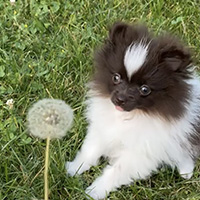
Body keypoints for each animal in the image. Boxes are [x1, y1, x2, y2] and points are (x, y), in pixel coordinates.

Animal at [66, 22, 200, 199]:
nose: (120, 99)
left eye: (145, 89)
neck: (127, 116)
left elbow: (115, 171)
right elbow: (90, 150)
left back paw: (186, 170)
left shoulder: (140, 154)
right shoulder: (102, 129)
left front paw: (94, 191)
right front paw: (75, 168)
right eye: (116, 78)